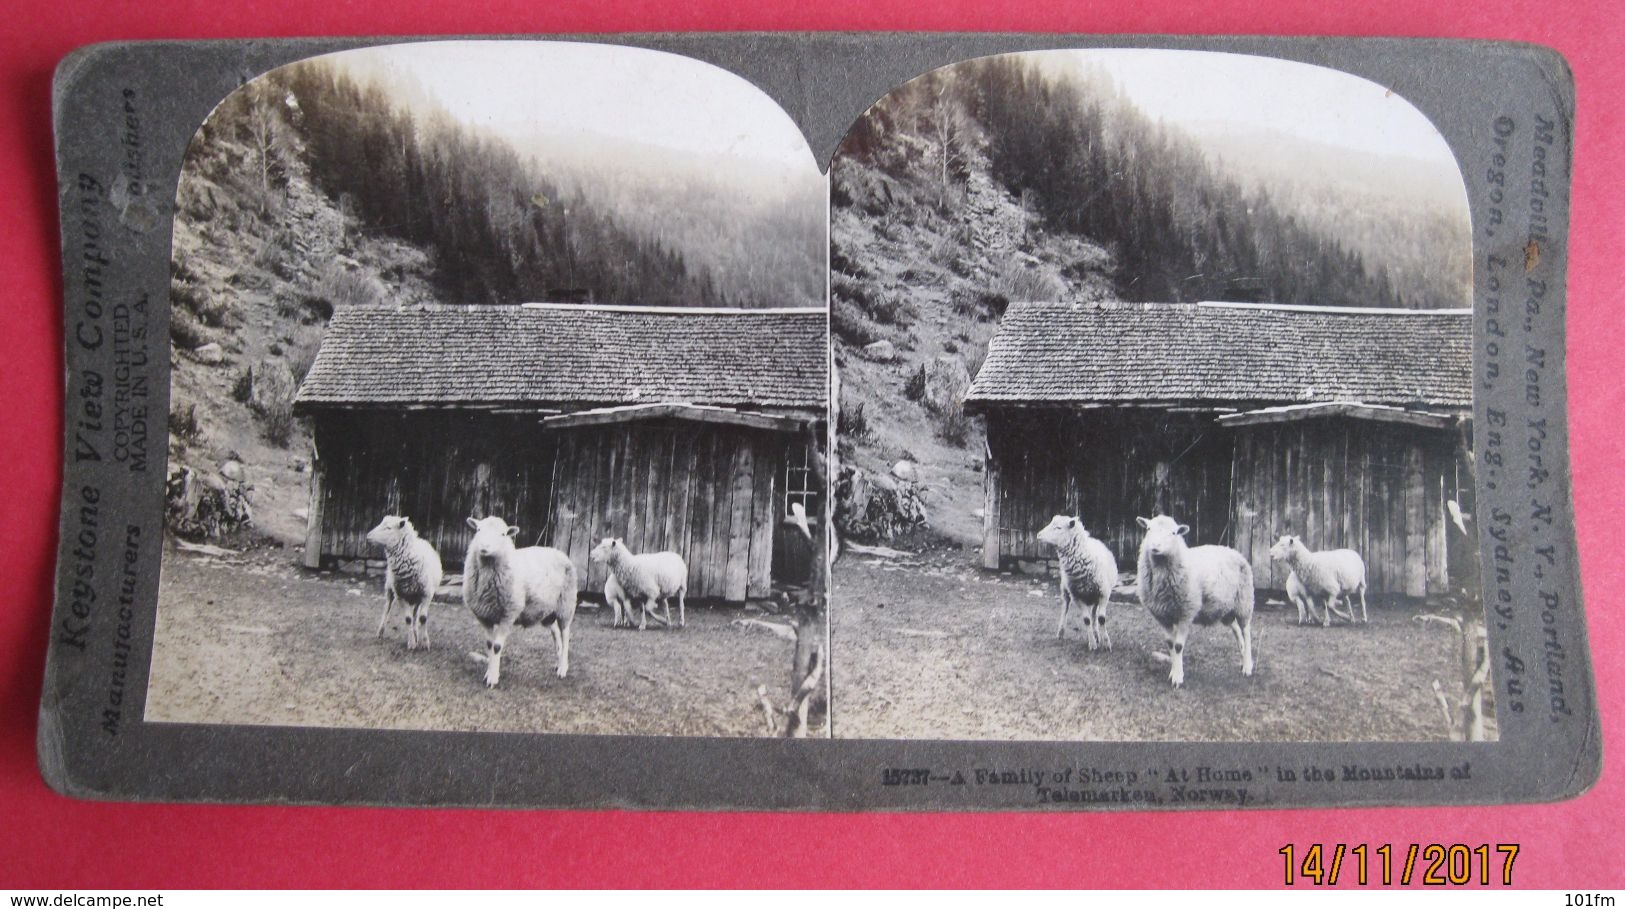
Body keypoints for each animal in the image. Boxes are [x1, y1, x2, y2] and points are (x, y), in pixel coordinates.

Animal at [367, 513, 445, 653]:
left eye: (388, 528)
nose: (368, 536)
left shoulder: (427, 594)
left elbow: (422, 618)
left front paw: (424, 643)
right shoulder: (400, 595)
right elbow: (408, 619)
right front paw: (412, 643)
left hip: (416, 596)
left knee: (416, 615)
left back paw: (416, 633)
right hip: (390, 589)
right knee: (387, 609)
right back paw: (381, 632)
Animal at [461, 517, 581, 686]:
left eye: (503, 534)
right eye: (478, 530)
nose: (484, 547)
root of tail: (559, 551)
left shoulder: (509, 613)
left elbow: (496, 647)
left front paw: (493, 678)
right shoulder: (484, 616)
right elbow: (489, 645)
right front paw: (488, 673)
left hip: (566, 606)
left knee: (565, 635)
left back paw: (563, 668)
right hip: (547, 612)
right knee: (556, 633)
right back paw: (558, 662)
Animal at [1040, 517, 1118, 650]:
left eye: (1058, 528)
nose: (1038, 535)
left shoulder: (1104, 594)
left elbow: (1101, 619)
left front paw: (1106, 643)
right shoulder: (1077, 596)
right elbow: (1086, 620)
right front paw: (1092, 644)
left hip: (1095, 595)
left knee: (1094, 614)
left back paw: (1097, 634)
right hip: (1066, 590)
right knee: (1065, 608)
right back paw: (1061, 632)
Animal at [1131, 517, 1254, 686]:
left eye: (1174, 533)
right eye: (1148, 529)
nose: (1155, 546)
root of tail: (1234, 551)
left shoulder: (1186, 612)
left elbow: (1178, 646)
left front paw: (1177, 678)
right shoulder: (1162, 616)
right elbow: (1170, 644)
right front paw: (1173, 671)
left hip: (1244, 602)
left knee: (1246, 632)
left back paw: (1247, 665)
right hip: (1225, 609)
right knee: (1236, 630)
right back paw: (1242, 656)